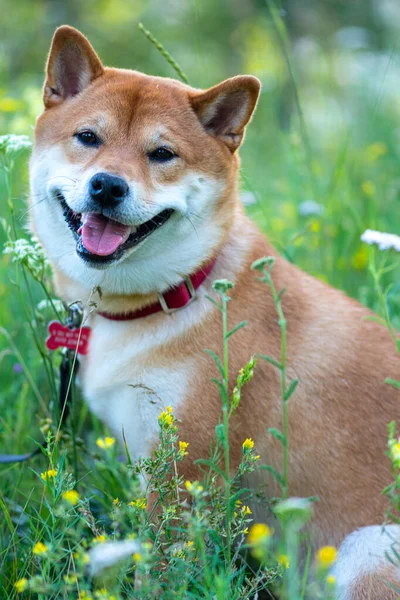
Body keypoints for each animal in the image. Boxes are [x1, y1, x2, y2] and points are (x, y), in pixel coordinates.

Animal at [30, 25, 400, 596]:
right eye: (88, 137)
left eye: (162, 153)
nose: (108, 186)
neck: (172, 294)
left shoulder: (183, 475)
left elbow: (159, 570)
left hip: (366, 551)